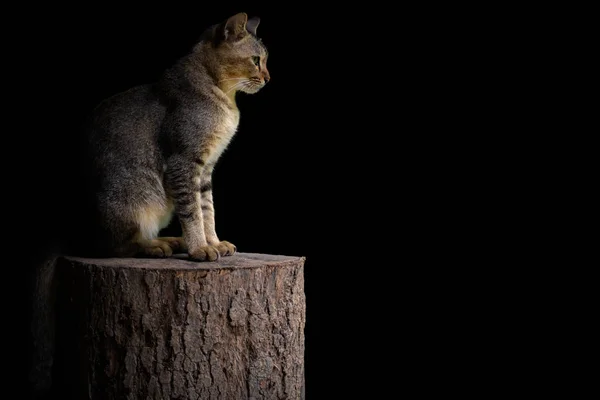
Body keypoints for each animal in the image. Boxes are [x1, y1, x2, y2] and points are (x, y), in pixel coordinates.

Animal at [77, 11, 270, 260]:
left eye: (266, 60)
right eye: (256, 60)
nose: (268, 78)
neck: (226, 97)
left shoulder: (206, 169)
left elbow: (207, 210)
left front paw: (214, 243)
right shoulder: (184, 162)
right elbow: (192, 212)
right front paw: (199, 248)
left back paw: (170, 240)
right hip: (134, 197)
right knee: (115, 246)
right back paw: (155, 246)